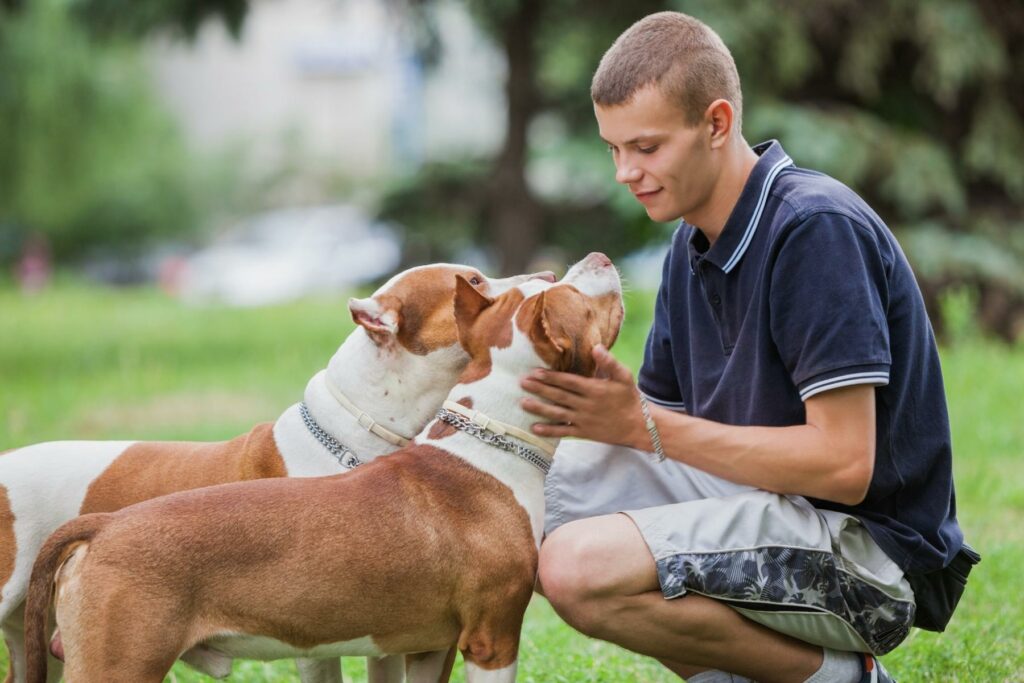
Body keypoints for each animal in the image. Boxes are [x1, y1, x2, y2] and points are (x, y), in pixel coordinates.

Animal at [22, 253, 622, 683]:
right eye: (574, 297)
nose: (589, 258)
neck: (486, 442)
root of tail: (104, 527)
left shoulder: (427, 646)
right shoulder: (491, 638)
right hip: (117, 665)